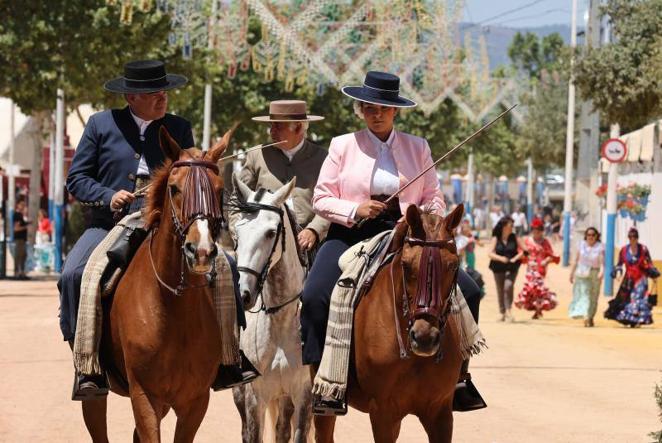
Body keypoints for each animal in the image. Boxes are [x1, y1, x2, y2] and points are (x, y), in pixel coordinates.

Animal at [82, 126, 233, 442]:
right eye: (174, 189)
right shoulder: (145, 397)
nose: (201, 251)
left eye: (219, 190)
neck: (174, 305)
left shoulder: (195, 401)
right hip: (99, 394)